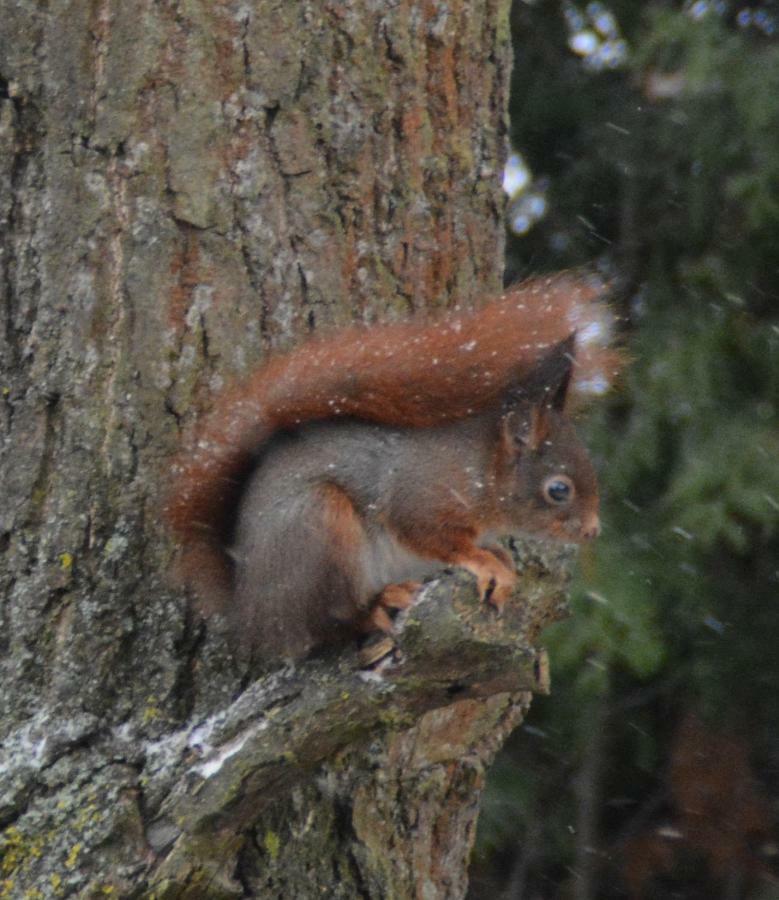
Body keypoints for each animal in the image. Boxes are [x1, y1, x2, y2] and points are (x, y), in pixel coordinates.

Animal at [168, 274, 624, 660]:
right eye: (559, 489)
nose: (593, 531)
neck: (477, 471)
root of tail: (249, 611)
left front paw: (501, 558)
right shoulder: (421, 498)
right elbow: (436, 538)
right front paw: (486, 562)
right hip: (318, 526)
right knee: (328, 622)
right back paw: (380, 604)